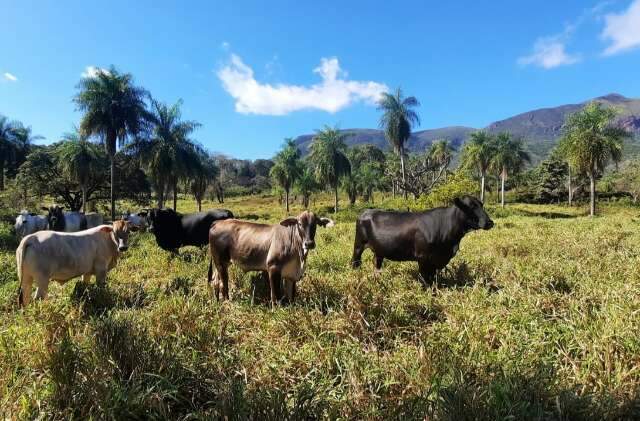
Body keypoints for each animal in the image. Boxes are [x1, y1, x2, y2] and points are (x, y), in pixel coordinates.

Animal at [208, 210, 336, 306]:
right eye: (299, 223)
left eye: (316, 223)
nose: (309, 243)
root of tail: (216, 223)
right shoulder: (273, 268)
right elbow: (275, 296)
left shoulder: (291, 275)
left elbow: (291, 296)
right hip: (220, 263)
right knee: (224, 285)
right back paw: (226, 304)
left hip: (220, 264)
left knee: (215, 281)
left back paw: (216, 302)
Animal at [350, 196, 496, 282]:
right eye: (470, 207)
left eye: (481, 205)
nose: (489, 222)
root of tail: (366, 212)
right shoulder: (423, 257)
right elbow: (426, 280)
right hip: (358, 245)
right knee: (355, 262)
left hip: (379, 250)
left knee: (376, 264)